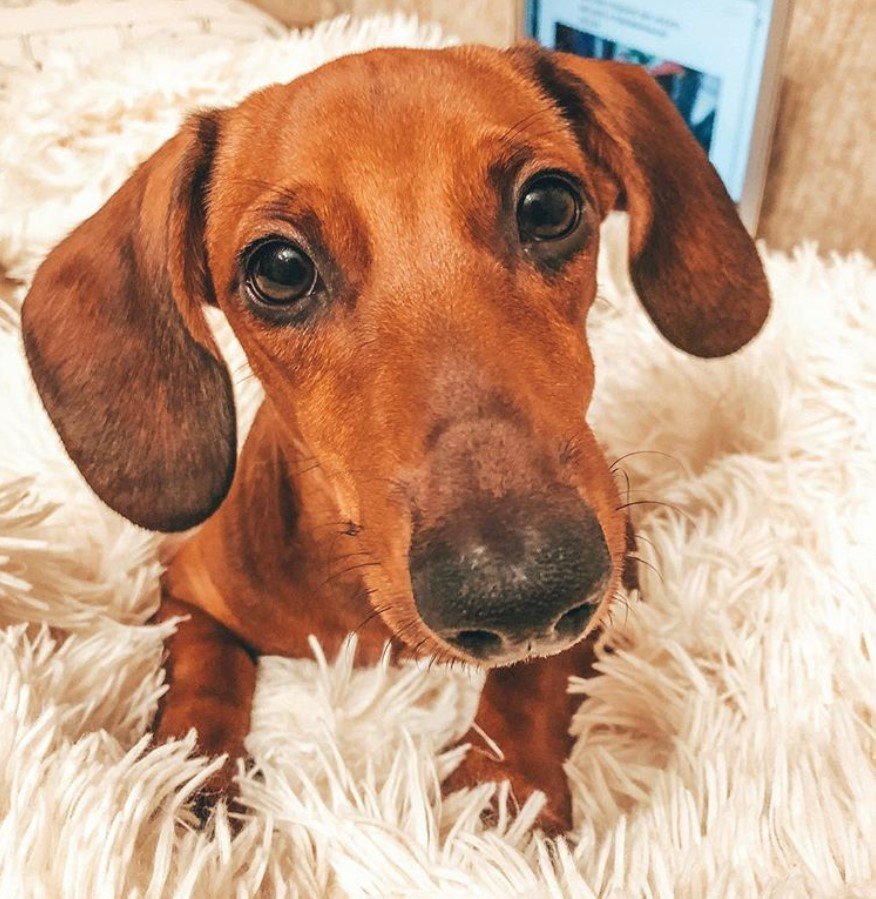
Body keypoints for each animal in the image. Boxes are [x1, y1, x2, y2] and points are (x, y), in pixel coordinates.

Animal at [22, 42, 768, 828]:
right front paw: (195, 775)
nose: (521, 588)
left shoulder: (614, 568)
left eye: (549, 205)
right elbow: (202, 671)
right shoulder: (186, 592)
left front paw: (506, 789)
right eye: (279, 269)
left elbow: (536, 675)